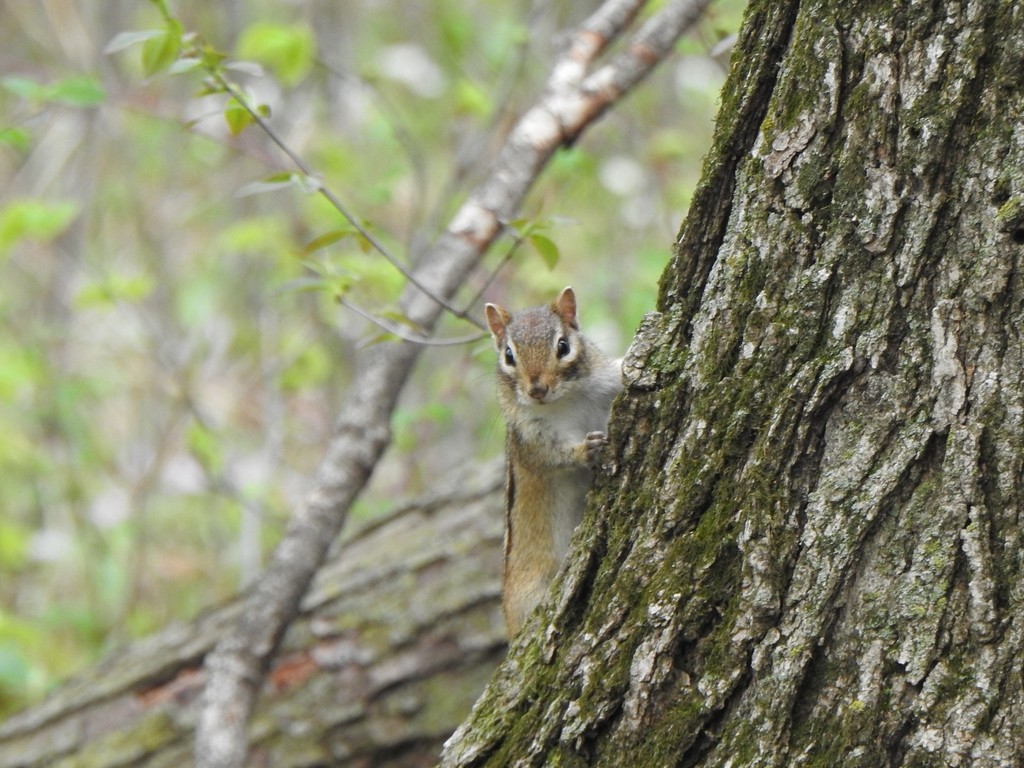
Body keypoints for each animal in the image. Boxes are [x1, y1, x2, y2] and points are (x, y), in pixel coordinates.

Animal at [484, 286, 623, 637]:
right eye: (508, 355)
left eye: (563, 346)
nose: (537, 389)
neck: (564, 401)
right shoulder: (529, 438)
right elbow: (550, 457)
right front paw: (585, 450)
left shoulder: (605, 381)